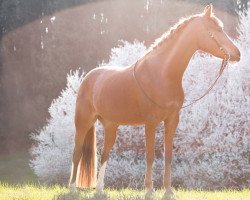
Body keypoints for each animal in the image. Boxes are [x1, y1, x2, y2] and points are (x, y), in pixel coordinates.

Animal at [68, 4, 240, 198]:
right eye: (217, 29)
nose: (237, 54)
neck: (162, 74)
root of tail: (88, 78)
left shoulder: (172, 121)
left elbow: (168, 155)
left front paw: (168, 191)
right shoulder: (150, 122)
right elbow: (150, 155)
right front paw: (149, 190)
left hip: (111, 125)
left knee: (104, 154)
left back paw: (99, 190)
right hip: (83, 122)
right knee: (77, 153)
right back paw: (72, 189)